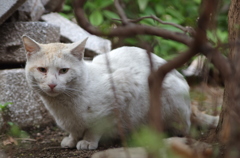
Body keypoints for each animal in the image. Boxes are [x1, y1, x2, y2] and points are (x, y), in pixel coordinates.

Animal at [22, 36, 218, 151]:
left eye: (63, 71)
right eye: (42, 70)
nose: (52, 84)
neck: (64, 107)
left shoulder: (123, 89)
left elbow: (95, 128)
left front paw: (87, 141)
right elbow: (74, 131)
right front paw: (72, 139)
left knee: (183, 129)